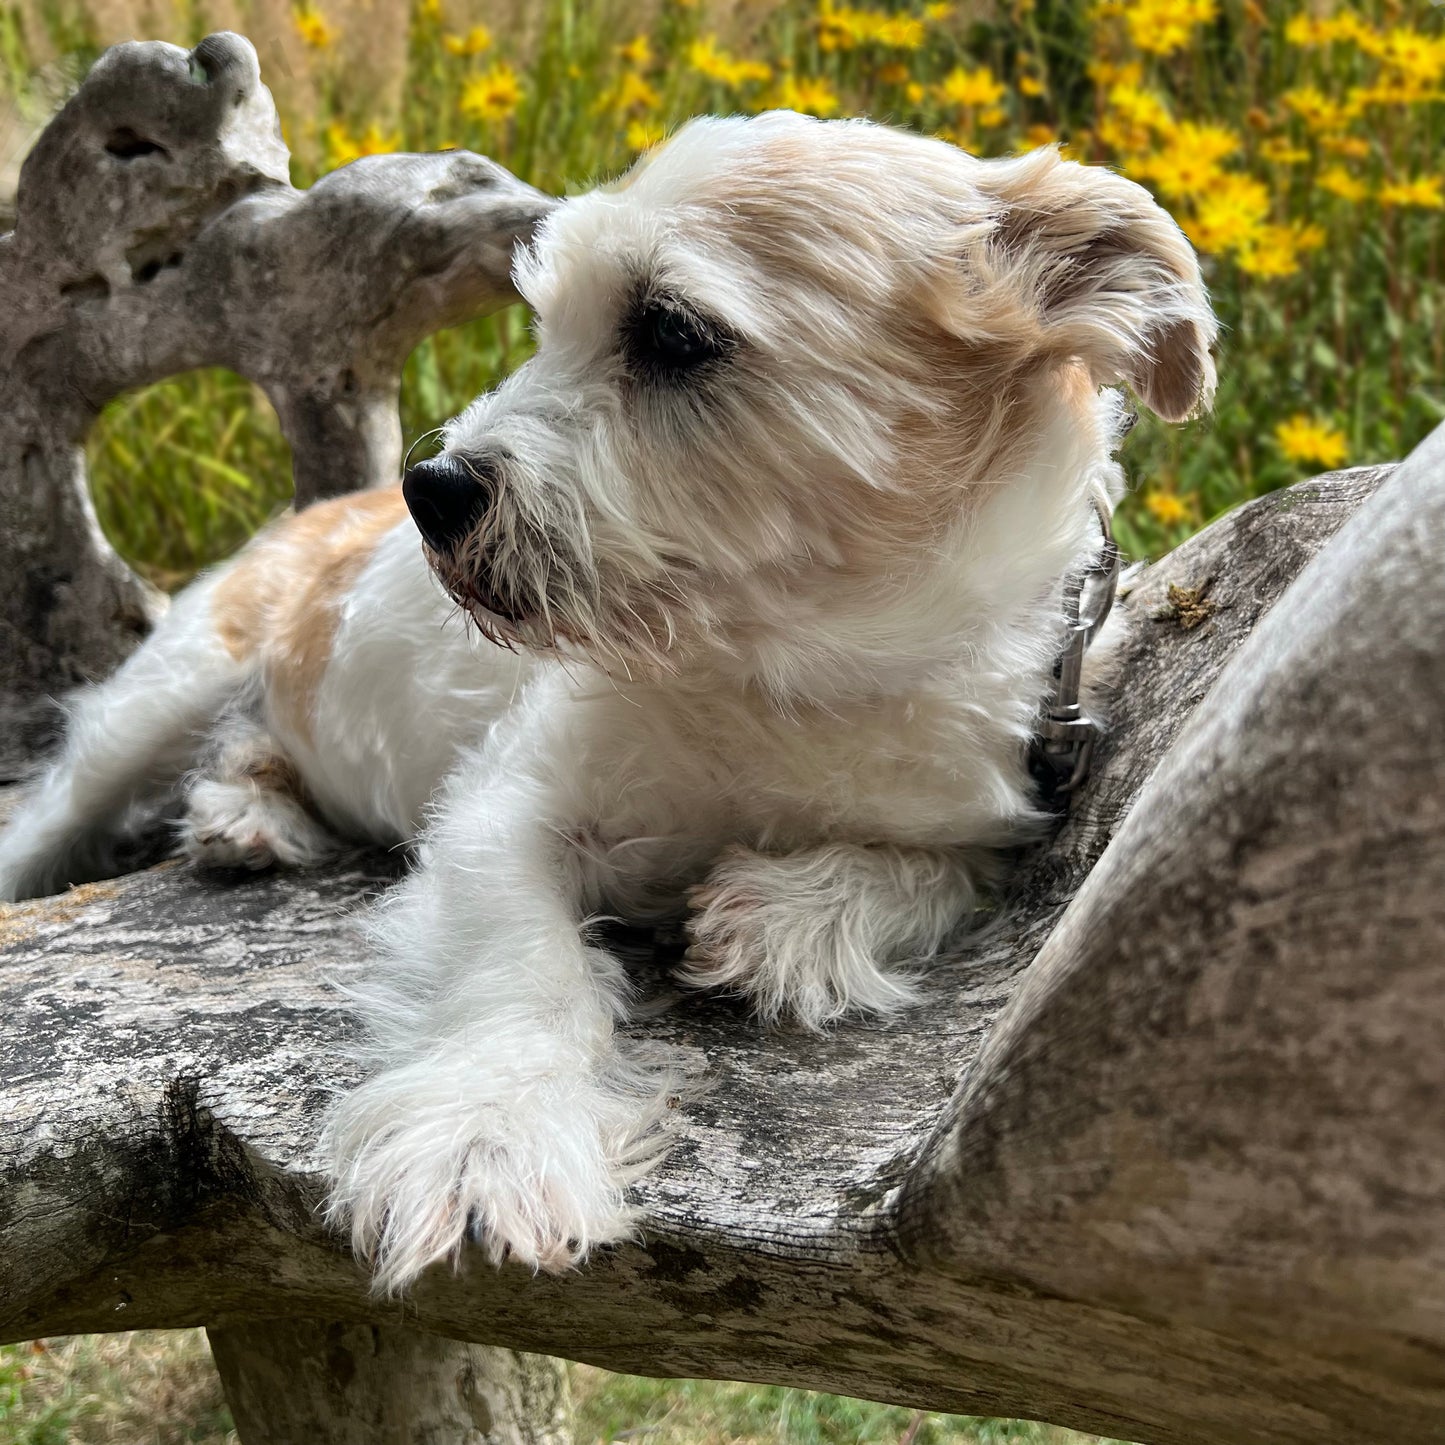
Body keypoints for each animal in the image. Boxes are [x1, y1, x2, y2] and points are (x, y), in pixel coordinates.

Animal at [0, 112, 1213, 1288]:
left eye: (671, 332)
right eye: (548, 319)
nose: (431, 488)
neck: (794, 672)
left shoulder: (999, 799)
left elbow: (934, 868)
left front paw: (794, 915)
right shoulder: (504, 815)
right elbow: (526, 971)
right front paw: (488, 1133)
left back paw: (247, 812)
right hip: (159, 697)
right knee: (61, 806)